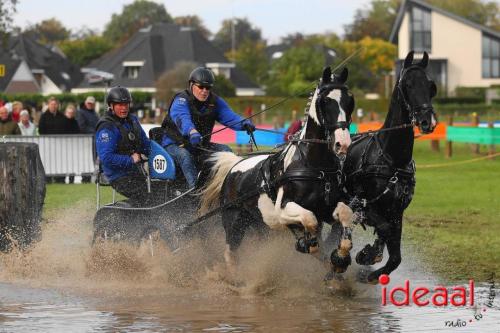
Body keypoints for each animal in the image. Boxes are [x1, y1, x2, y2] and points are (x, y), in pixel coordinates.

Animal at [199, 65, 356, 274]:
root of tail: (236, 163)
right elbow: (310, 220)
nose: (342, 144)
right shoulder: (283, 210)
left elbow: (344, 215)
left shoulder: (328, 207)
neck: (314, 166)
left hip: (261, 225)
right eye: (325, 102)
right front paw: (307, 243)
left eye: (349, 101)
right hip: (234, 223)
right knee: (230, 254)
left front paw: (340, 257)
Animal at [344, 52, 438, 282]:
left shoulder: (397, 212)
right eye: (407, 85)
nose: (427, 121)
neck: (391, 160)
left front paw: (369, 270)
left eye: (431, 86)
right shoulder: (366, 207)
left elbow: (395, 258)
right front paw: (367, 254)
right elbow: (384, 229)